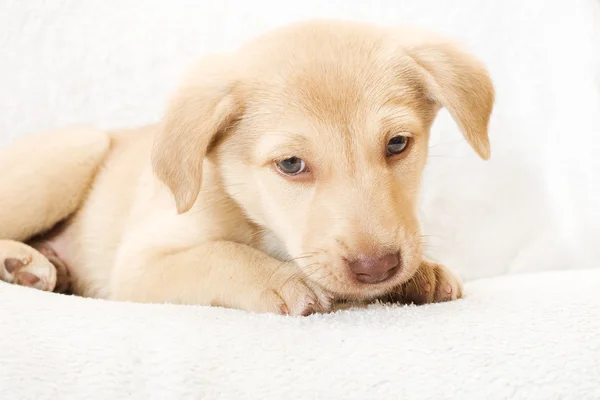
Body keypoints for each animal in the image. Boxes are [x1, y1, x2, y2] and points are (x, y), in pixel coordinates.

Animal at [0, 20, 492, 316]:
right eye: (291, 164)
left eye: (397, 144)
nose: (378, 268)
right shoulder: (140, 265)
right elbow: (220, 254)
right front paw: (281, 281)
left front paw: (424, 271)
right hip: (78, 147)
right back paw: (24, 262)